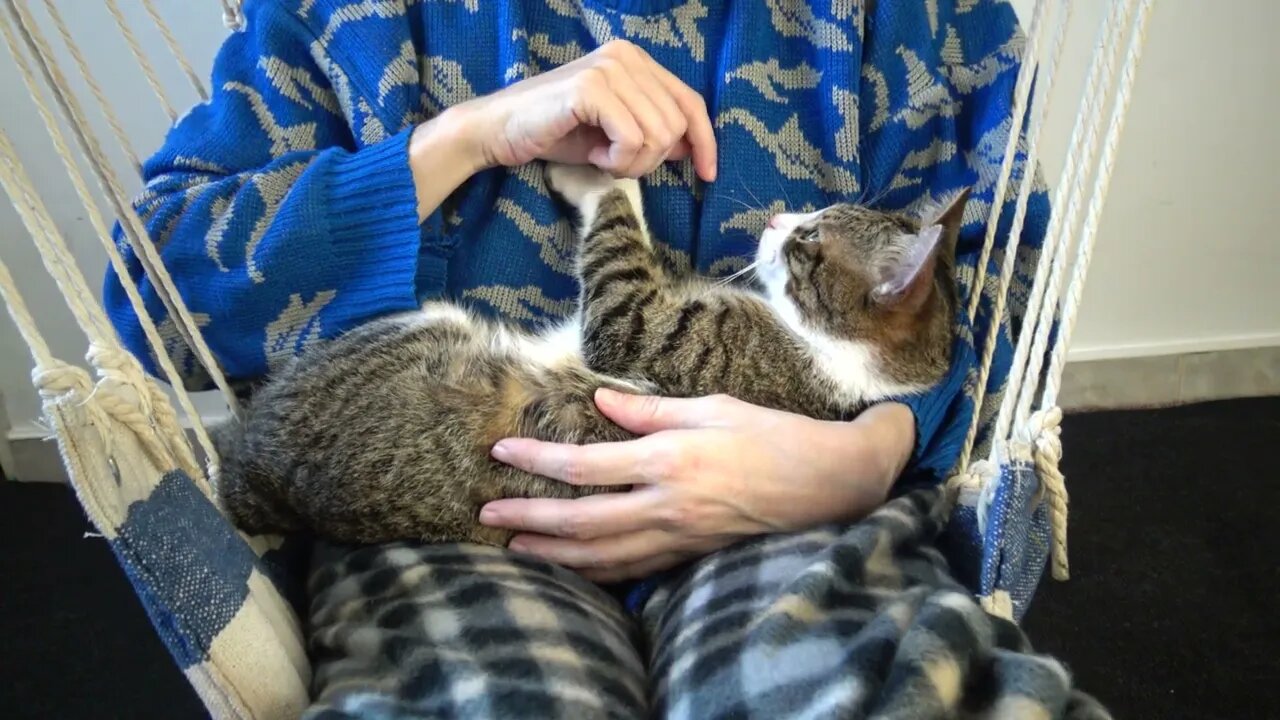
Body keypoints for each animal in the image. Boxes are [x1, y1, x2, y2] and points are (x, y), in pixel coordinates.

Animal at [212, 163, 967, 543]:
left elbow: (616, 248)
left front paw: (597, 176)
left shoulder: (651, 333)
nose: (779, 218)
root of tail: (250, 481)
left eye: (809, 241)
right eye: (807, 221)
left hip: (419, 331)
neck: (831, 358)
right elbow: (646, 246)